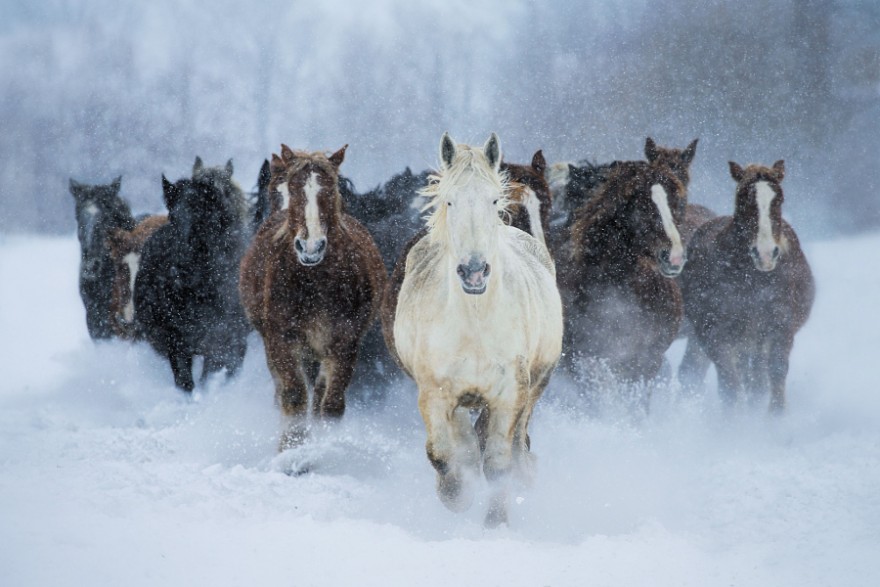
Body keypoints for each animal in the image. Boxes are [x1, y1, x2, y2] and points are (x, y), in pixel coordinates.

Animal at [237, 145, 384, 448]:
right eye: (293, 189)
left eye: (330, 190)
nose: (311, 247)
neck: (315, 282)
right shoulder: (282, 341)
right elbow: (293, 397)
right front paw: (291, 452)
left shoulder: (344, 342)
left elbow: (331, 404)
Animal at [384, 134, 564, 528]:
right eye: (449, 200)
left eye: (493, 200)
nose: (474, 271)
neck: (476, 322)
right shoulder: (435, 392)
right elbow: (441, 454)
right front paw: (456, 496)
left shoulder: (510, 393)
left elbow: (498, 464)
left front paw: (495, 522)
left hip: (537, 383)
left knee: (516, 441)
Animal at [676, 161, 816, 414]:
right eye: (743, 199)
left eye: (779, 199)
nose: (765, 254)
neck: (752, 281)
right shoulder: (716, 334)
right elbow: (730, 385)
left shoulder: (780, 328)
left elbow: (776, 372)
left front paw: (774, 417)